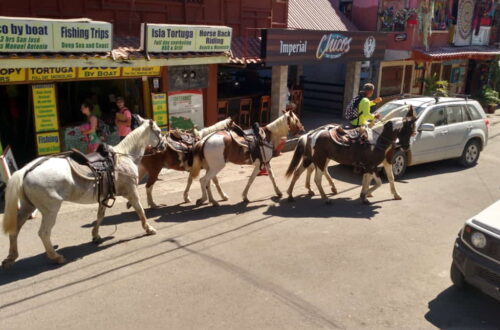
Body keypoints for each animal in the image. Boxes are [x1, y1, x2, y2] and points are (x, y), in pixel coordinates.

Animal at [1, 118, 166, 268]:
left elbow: (100, 216)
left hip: (27, 207)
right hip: (50, 211)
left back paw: (11, 257)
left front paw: (96, 235)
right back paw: (56, 257)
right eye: (158, 131)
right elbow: (140, 210)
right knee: (44, 233)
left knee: (15, 229)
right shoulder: (132, 191)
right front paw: (148, 228)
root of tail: (26, 169)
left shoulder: (105, 197)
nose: (164, 145)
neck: (124, 156)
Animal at [286, 108, 418, 204]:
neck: (379, 139)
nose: (406, 146)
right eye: (410, 130)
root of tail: (312, 134)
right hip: (321, 160)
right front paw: (365, 196)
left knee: (301, 172)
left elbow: (381, 179)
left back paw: (292, 194)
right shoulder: (372, 166)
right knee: (317, 178)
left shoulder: (378, 164)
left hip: (316, 159)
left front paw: (369, 194)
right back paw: (325, 198)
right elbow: (377, 182)